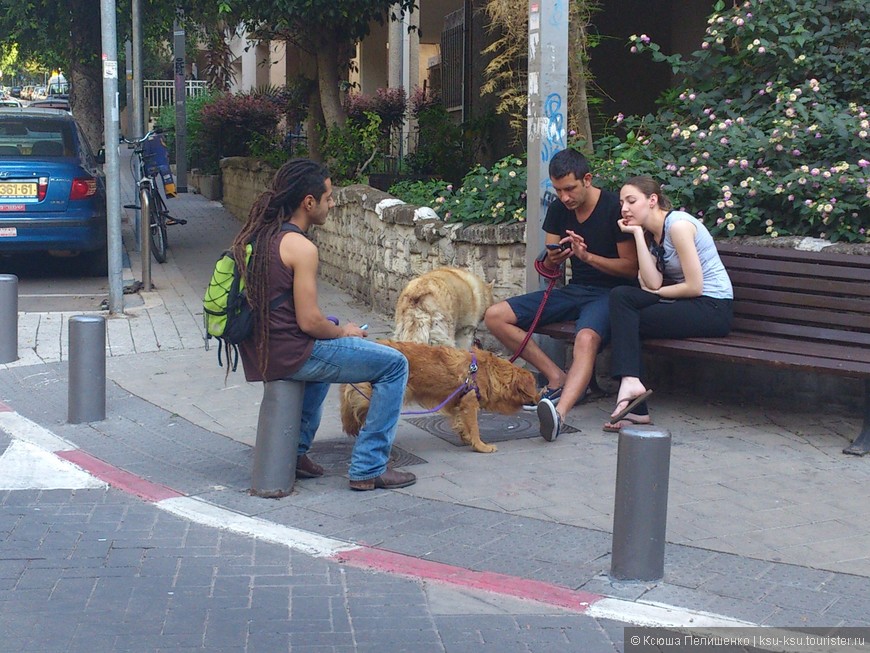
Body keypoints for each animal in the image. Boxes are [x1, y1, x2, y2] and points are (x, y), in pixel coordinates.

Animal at [338, 342, 540, 454]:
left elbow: (463, 424)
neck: (488, 372)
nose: (539, 398)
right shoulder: (470, 403)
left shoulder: (460, 403)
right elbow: (475, 428)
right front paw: (480, 446)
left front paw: (466, 438)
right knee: (351, 398)